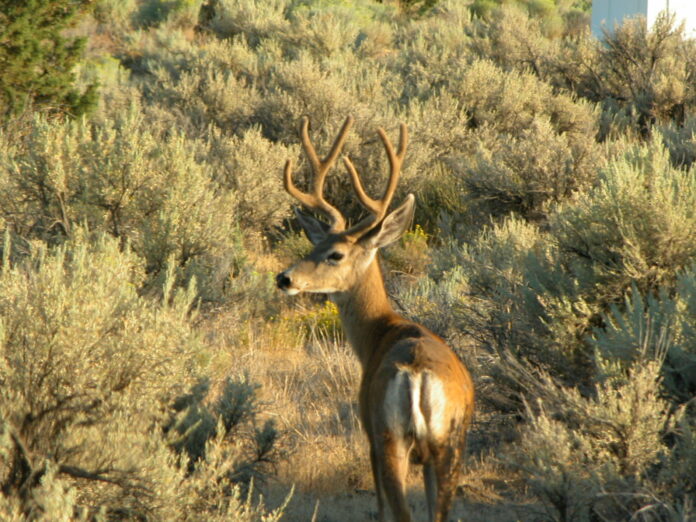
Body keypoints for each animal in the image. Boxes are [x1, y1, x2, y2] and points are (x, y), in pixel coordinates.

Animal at [276, 115, 475, 522]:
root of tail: (417, 374)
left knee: (399, 512)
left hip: (388, 437)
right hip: (450, 444)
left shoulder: (367, 431)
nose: (284, 278)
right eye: (314, 244)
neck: (379, 333)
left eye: (335, 254)